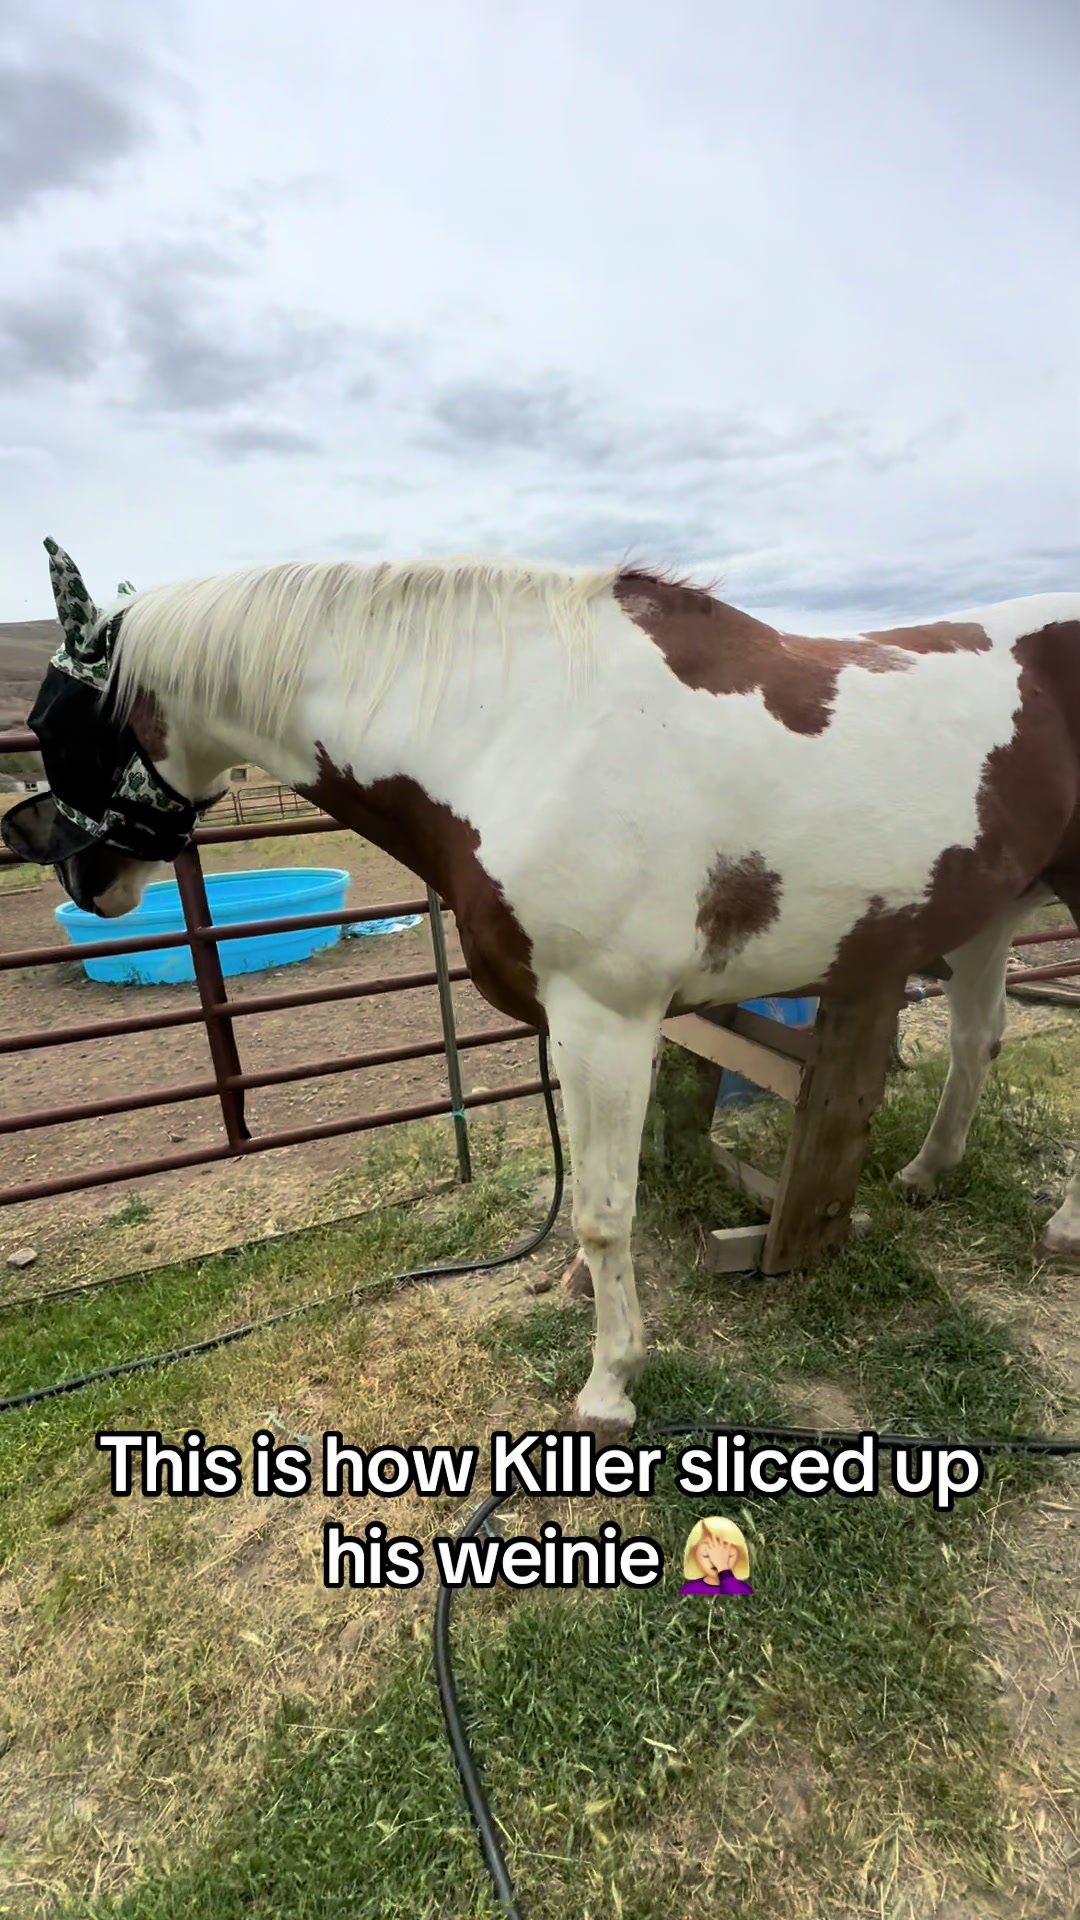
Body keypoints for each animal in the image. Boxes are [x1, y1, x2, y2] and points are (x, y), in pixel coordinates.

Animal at [6, 537, 1080, 1436]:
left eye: (50, 721)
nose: (75, 876)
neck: (517, 733)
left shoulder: (604, 1018)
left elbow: (606, 1210)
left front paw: (610, 1386)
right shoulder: (580, 1026)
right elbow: (593, 1206)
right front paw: (575, 1293)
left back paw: (1061, 1230)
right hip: (991, 908)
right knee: (976, 1040)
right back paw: (929, 1174)